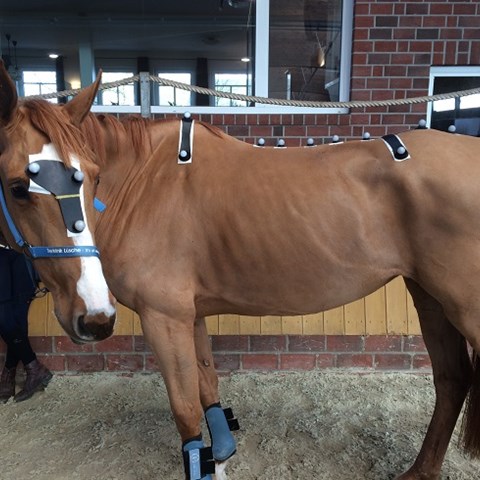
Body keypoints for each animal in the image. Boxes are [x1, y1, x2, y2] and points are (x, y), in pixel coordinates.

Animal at [0, 64, 480, 480]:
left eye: (93, 177)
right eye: (17, 187)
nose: (94, 317)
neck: (144, 184)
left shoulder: (164, 318)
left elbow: (186, 410)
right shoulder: (189, 315)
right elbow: (208, 387)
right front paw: (222, 457)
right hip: (430, 299)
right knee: (452, 380)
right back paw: (420, 471)